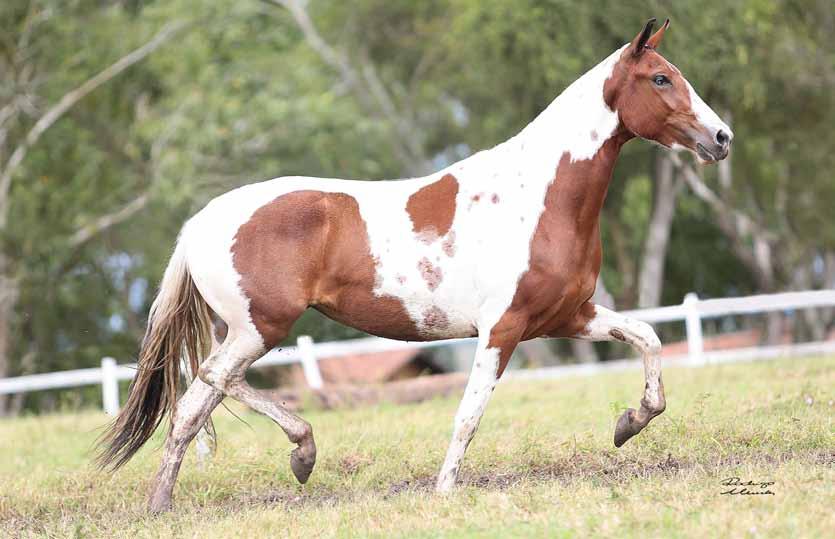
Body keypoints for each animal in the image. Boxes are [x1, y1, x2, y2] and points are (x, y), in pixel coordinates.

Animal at [99, 19, 732, 512]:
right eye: (660, 78)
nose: (721, 137)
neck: (538, 196)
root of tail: (199, 224)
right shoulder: (502, 328)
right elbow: (469, 414)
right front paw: (444, 492)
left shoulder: (567, 315)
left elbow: (648, 338)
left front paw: (630, 422)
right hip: (260, 328)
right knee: (216, 378)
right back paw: (303, 451)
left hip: (241, 331)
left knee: (188, 410)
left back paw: (163, 507)